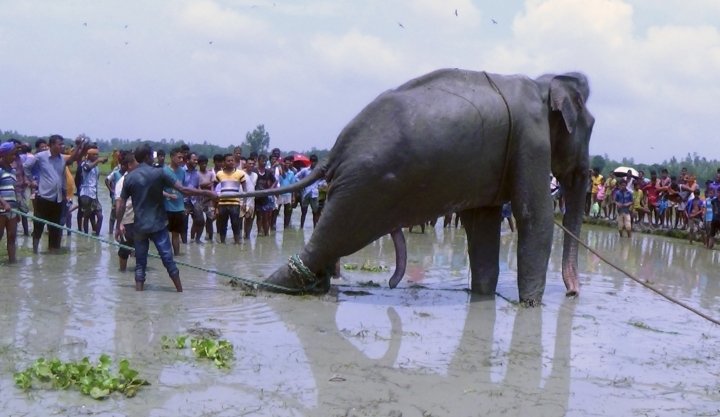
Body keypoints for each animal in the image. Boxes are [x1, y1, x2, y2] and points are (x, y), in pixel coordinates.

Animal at [240, 68, 594, 305]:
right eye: (590, 127)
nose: (573, 293)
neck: (543, 83)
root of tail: (336, 151)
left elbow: (482, 223)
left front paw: (483, 297)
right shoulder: (531, 141)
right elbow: (534, 217)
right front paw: (531, 306)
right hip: (367, 186)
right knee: (333, 237)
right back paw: (266, 288)